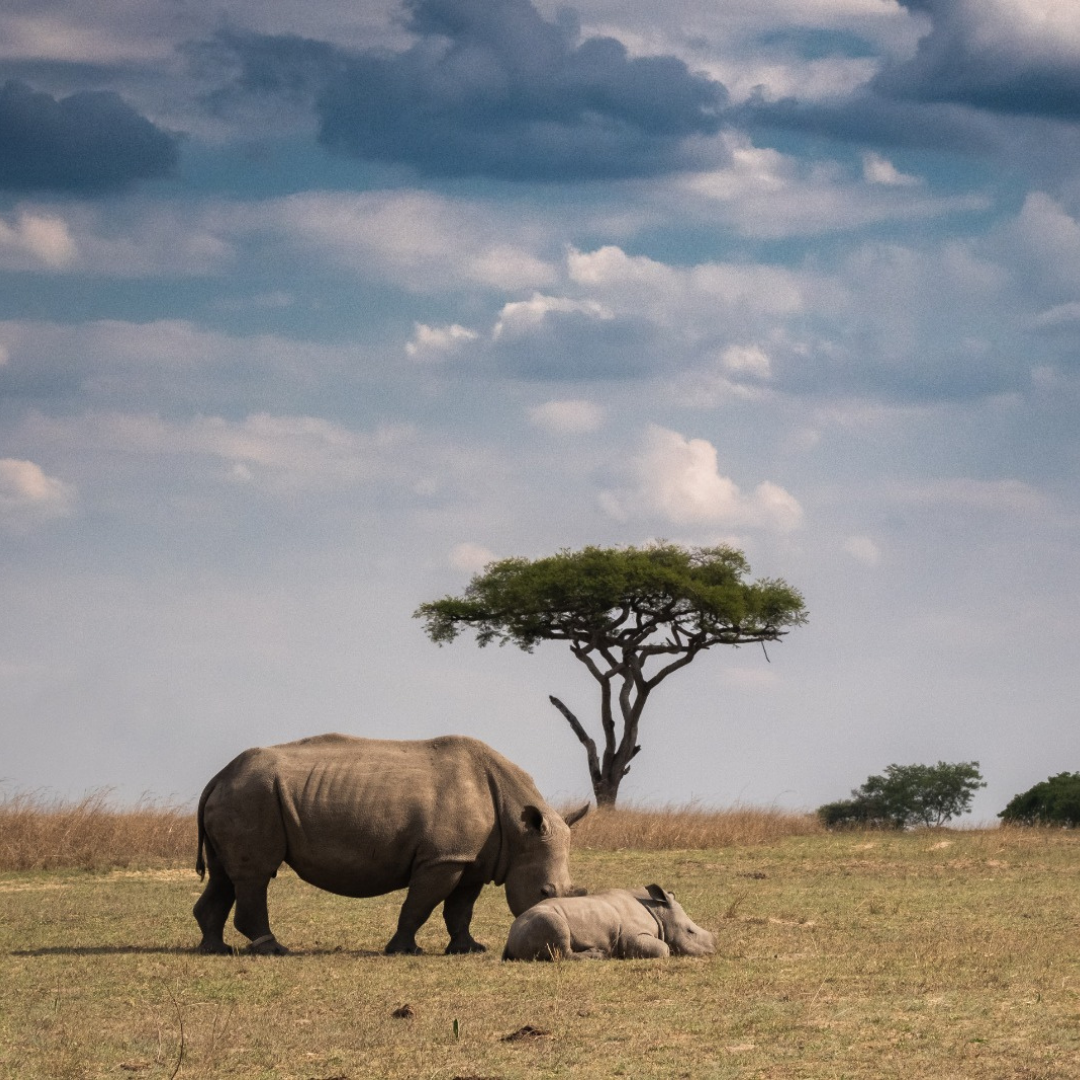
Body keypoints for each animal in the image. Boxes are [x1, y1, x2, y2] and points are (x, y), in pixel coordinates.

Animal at [193, 734, 588, 956]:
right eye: (544, 892)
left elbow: (461, 909)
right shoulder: (442, 858)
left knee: (224, 875)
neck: (519, 828)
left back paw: (215, 949)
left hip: (238, 795)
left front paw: (469, 949)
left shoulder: (470, 858)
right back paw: (273, 950)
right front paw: (405, 950)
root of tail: (216, 777)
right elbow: (420, 905)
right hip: (252, 795)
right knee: (255, 874)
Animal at [502, 884, 715, 960]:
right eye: (690, 931)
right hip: (541, 919)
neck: (658, 909)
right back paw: (599, 955)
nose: (714, 950)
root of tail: (510, 937)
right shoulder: (631, 936)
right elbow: (663, 949)